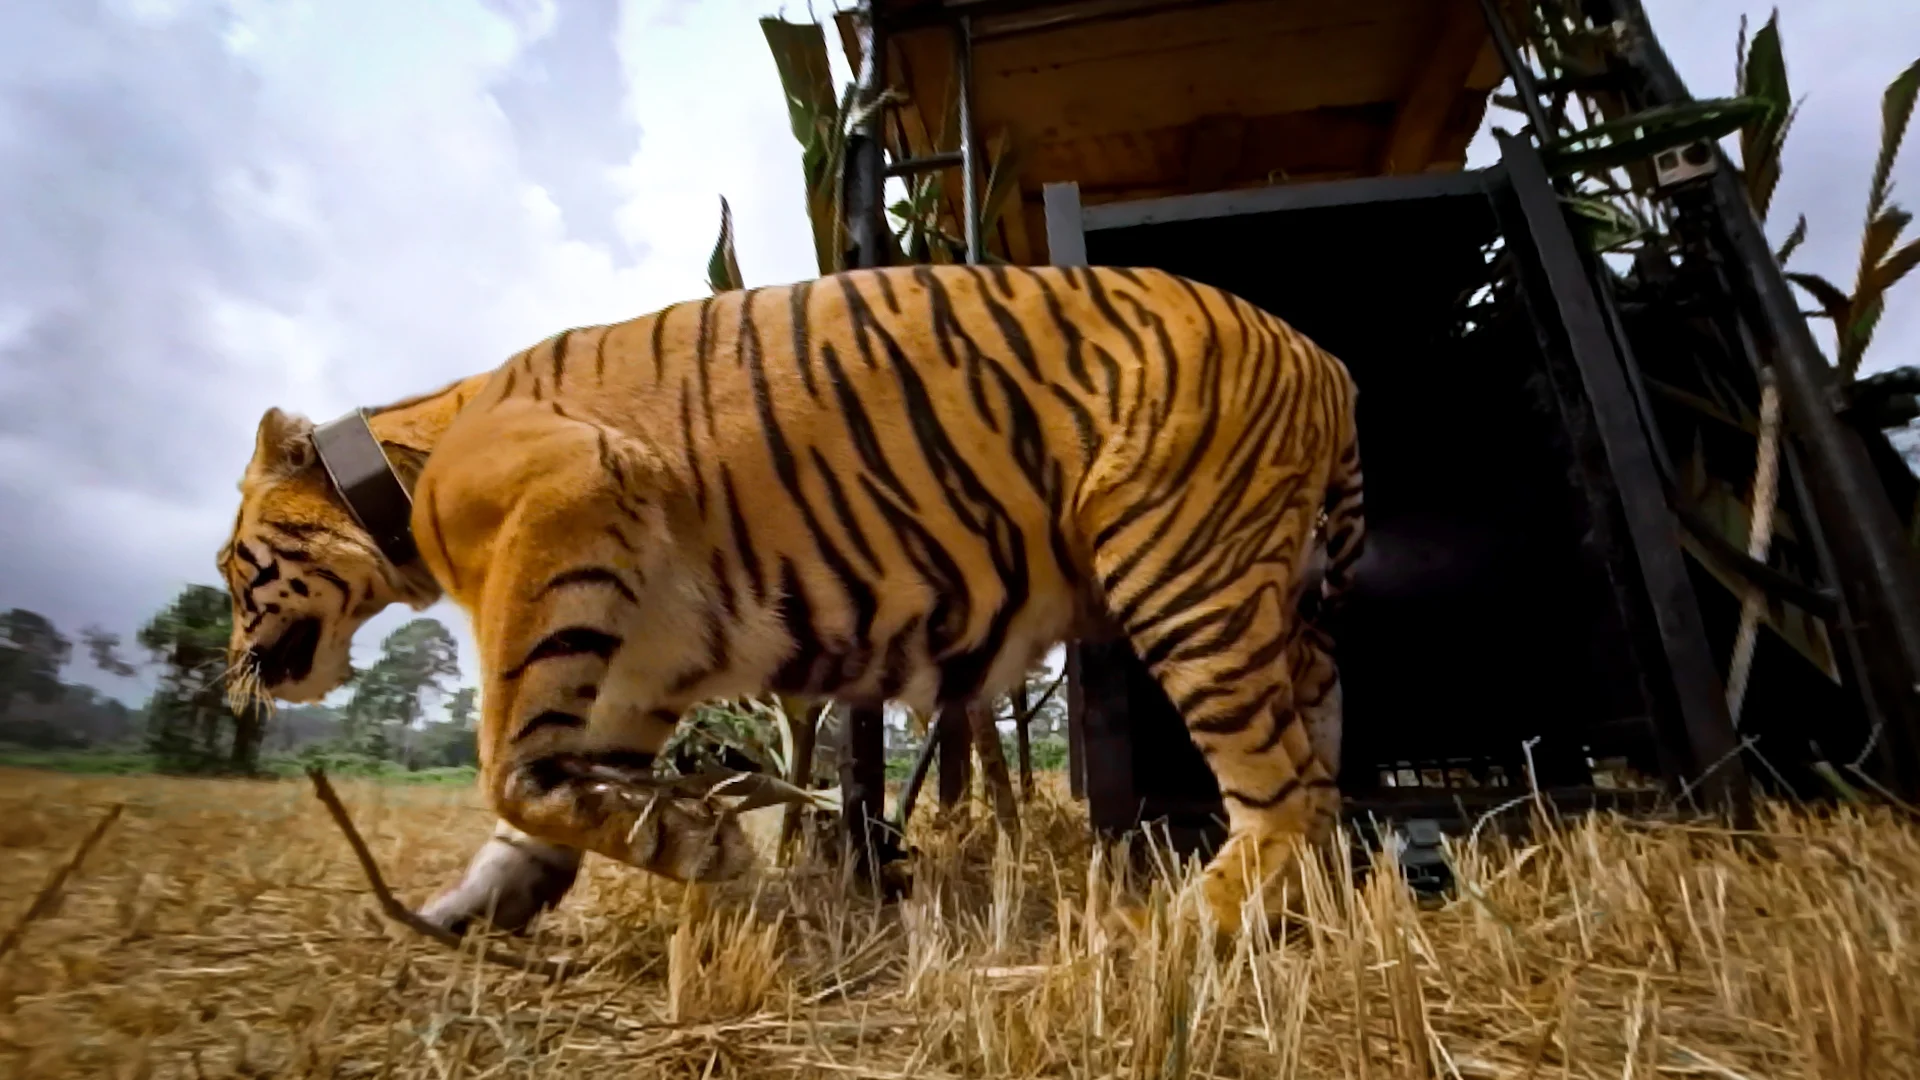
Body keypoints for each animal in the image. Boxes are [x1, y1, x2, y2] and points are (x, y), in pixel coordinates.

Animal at [216, 264, 1365, 938]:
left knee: (1281, 790)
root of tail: (1324, 355)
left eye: (232, 569)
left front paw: (705, 848)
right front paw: (471, 912)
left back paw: (1176, 932)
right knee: (1320, 740)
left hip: (1185, 572)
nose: (233, 675)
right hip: (1272, 597)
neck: (405, 468)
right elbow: (533, 801)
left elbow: (504, 763)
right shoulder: (636, 656)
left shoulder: (566, 510)